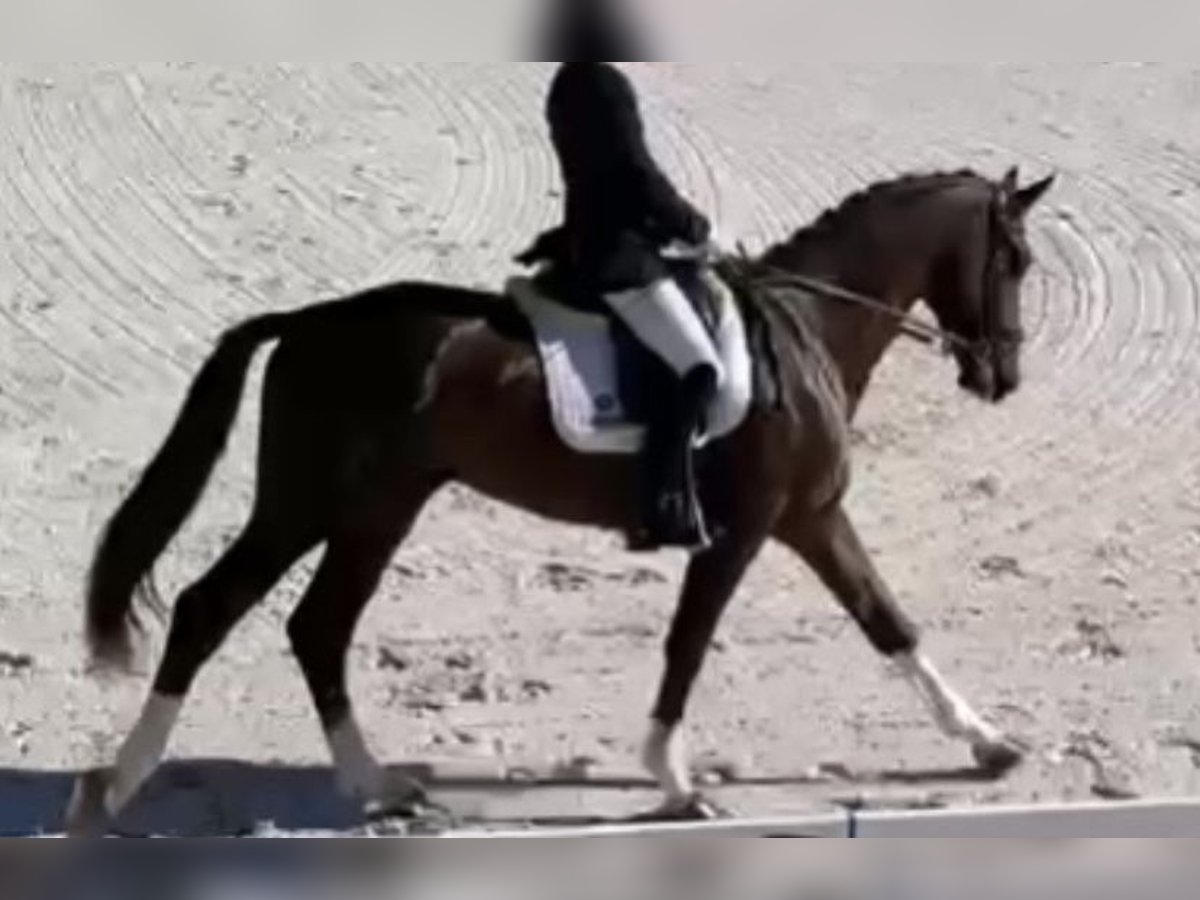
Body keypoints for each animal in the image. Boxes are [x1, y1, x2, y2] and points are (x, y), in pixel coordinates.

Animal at [70, 165, 1056, 835]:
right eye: (1014, 257)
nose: (1002, 374)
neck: (805, 329)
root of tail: (306, 324)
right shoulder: (743, 531)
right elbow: (688, 646)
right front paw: (674, 782)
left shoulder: (811, 519)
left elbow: (887, 621)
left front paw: (988, 743)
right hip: (308, 503)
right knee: (211, 608)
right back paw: (119, 786)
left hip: (379, 509)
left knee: (316, 627)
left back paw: (373, 784)